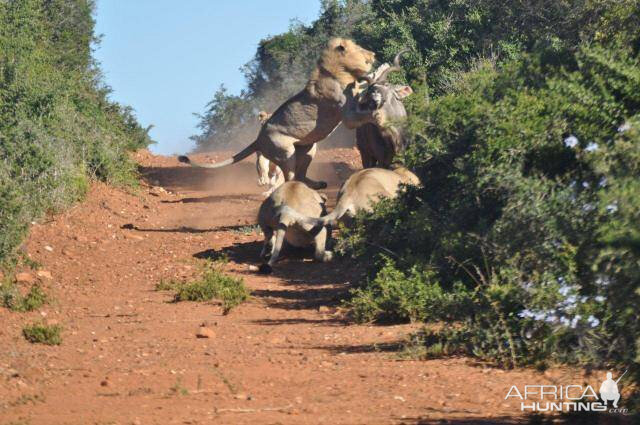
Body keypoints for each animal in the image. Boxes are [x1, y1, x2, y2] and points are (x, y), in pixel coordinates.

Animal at [176, 37, 376, 190]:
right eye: (360, 48)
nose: (373, 54)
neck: (339, 71)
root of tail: (258, 138)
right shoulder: (345, 110)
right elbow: (356, 107)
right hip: (285, 151)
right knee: (289, 178)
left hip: (308, 147)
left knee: (300, 175)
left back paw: (317, 185)